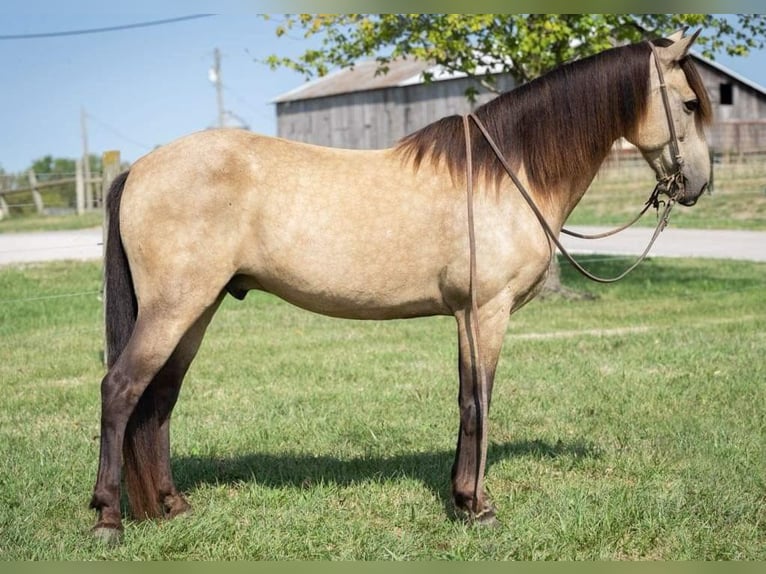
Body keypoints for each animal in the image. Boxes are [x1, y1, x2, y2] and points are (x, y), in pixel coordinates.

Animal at [88, 31, 712, 544]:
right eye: (688, 104)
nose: (699, 185)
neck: (505, 173)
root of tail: (140, 168)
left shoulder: (464, 316)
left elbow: (465, 400)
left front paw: (462, 499)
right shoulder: (486, 312)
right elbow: (479, 402)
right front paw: (480, 507)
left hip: (196, 310)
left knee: (159, 399)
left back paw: (171, 506)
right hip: (175, 308)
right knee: (120, 391)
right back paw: (107, 519)